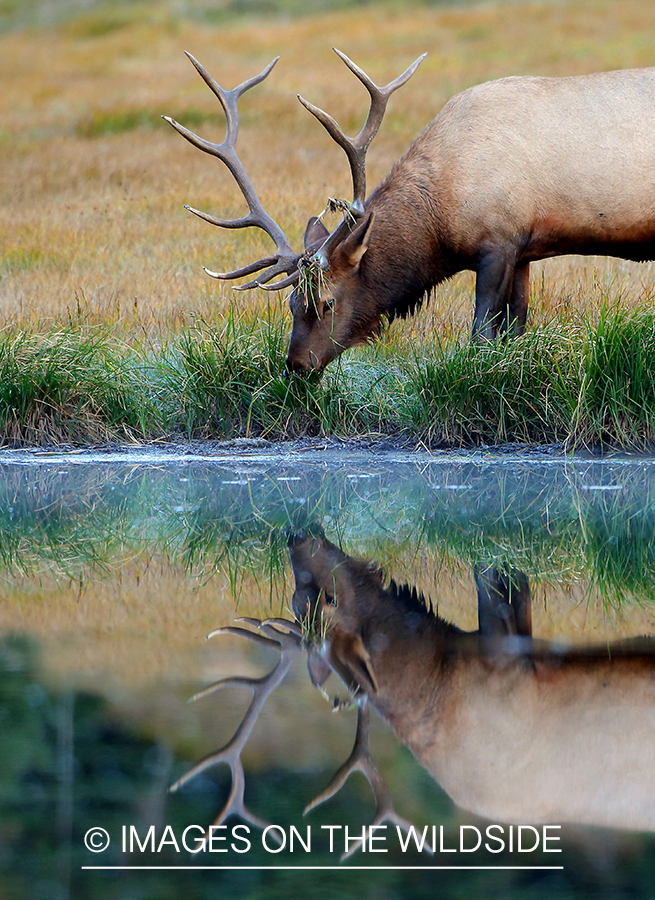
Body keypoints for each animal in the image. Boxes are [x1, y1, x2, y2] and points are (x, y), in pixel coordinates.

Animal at [165, 50, 655, 372]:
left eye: (327, 301)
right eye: (290, 301)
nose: (296, 365)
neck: (442, 216)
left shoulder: (497, 242)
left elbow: (481, 336)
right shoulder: (524, 249)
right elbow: (517, 331)